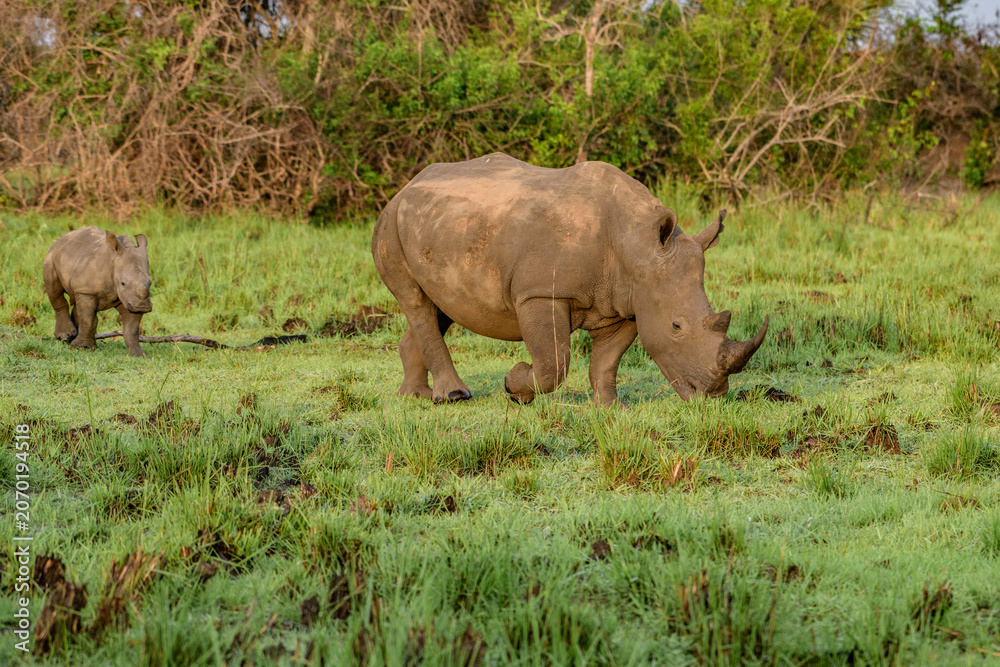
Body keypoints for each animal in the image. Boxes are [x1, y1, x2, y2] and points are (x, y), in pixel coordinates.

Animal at [43, 227, 153, 358]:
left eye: (150, 283)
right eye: (123, 283)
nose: (143, 306)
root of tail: (61, 239)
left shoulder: (130, 299)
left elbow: (132, 329)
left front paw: (139, 355)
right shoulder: (87, 292)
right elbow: (88, 320)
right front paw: (82, 347)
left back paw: (73, 339)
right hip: (51, 257)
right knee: (55, 292)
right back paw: (66, 336)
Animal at [371, 153, 768, 406]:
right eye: (676, 326)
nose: (713, 395)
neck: (638, 245)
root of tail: (406, 186)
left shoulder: (627, 301)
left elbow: (607, 361)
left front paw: (610, 409)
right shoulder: (540, 293)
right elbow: (553, 363)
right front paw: (515, 387)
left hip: (443, 225)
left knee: (440, 306)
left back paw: (415, 396)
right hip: (389, 223)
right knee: (416, 302)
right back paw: (454, 396)